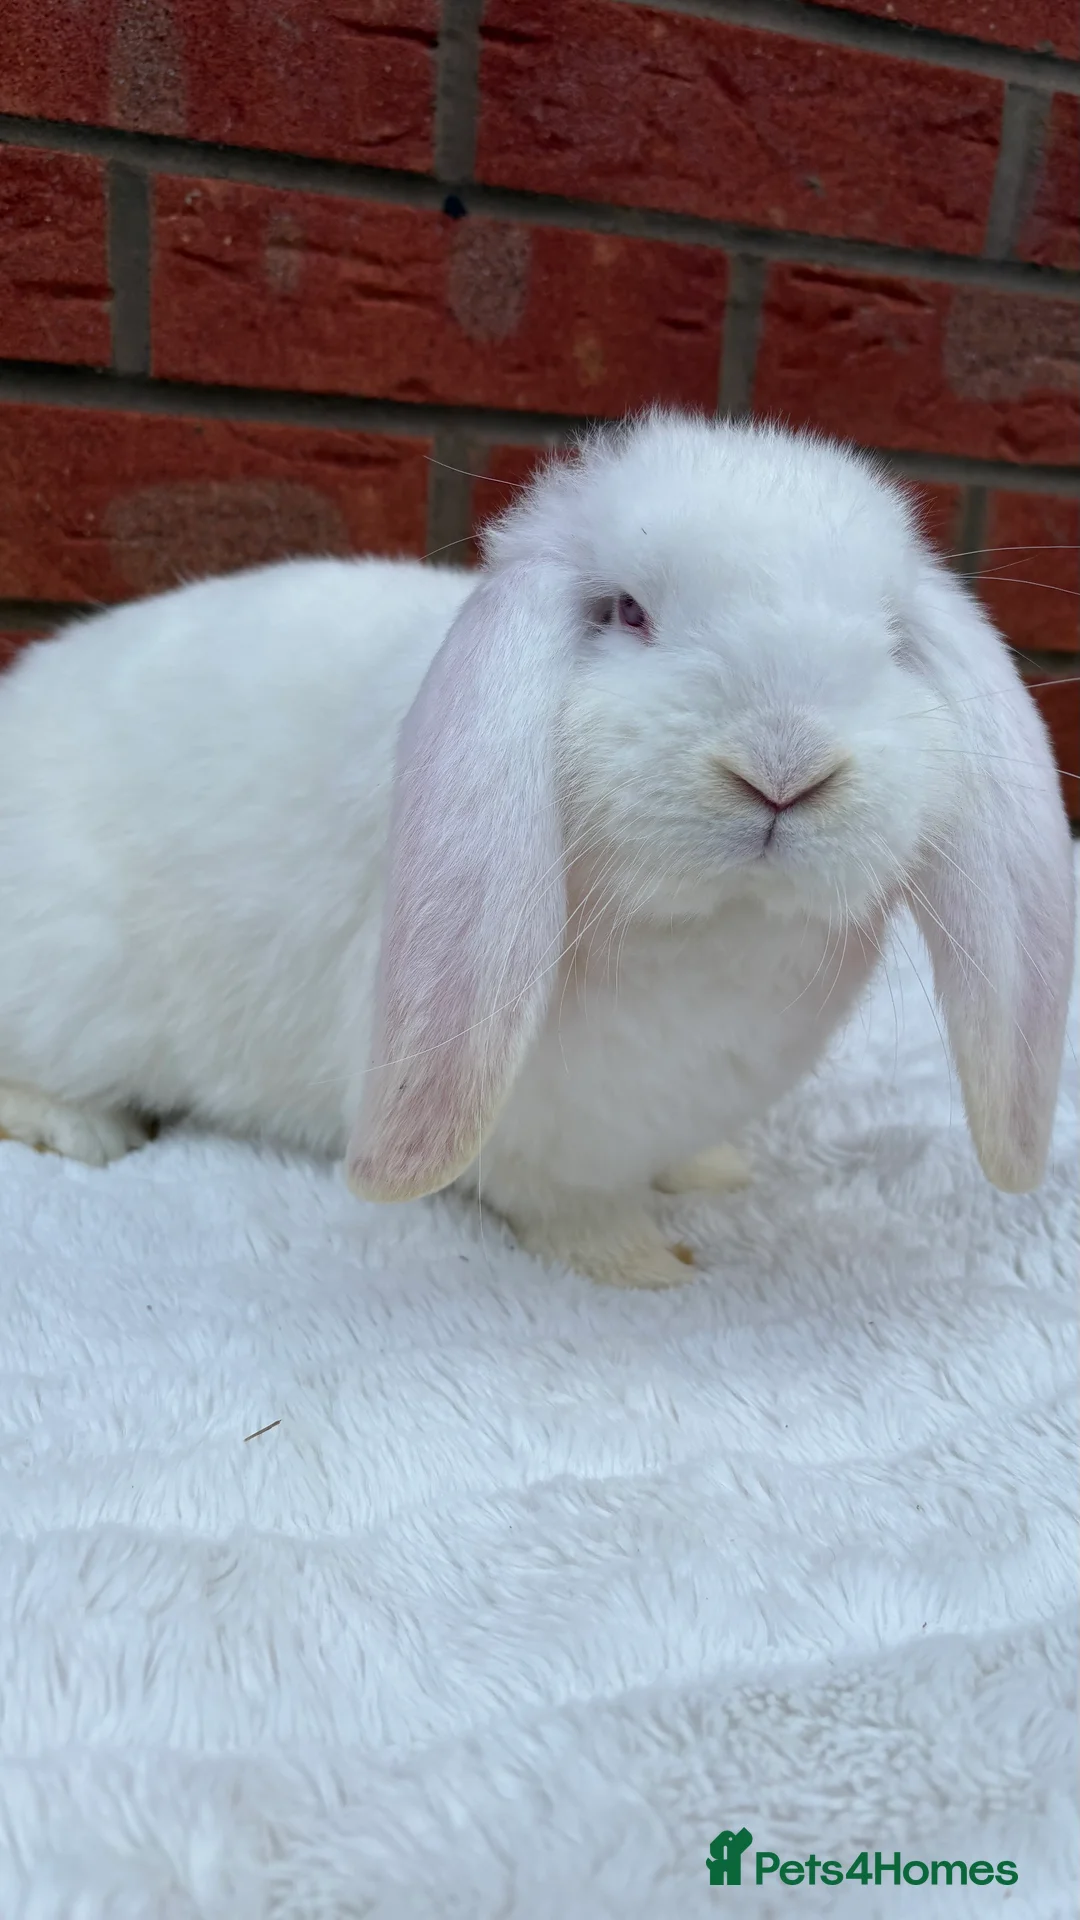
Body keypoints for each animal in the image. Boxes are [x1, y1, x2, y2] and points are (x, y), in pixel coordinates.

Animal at [0, 410, 1073, 1288]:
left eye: (892, 640)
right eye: (628, 612)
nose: (784, 769)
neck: (715, 933)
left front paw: (713, 1174)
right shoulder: (543, 1132)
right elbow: (572, 1209)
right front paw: (648, 1266)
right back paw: (80, 1129)